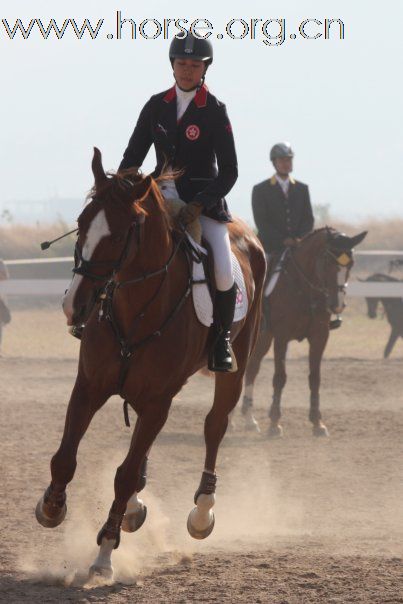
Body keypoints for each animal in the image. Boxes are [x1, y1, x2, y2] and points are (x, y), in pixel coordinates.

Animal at [35, 147, 268, 580]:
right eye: (81, 224)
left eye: (120, 234)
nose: (73, 305)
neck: (135, 309)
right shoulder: (89, 386)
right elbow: (65, 458)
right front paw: (51, 507)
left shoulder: (160, 401)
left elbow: (124, 476)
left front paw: (104, 555)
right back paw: (134, 510)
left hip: (235, 369)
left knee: (215, 425)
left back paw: (201, 512)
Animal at [241, 229, 368, 436]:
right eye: (326, 260)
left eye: (351, 263)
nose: (337, 305)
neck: (304, 287)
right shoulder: (282, 337)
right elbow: (280, 377)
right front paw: (274, 423)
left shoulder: (320, 337)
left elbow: (315, 378)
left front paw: (318, 423)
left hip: (263, 338)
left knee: (252, 368)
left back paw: (249, 419)